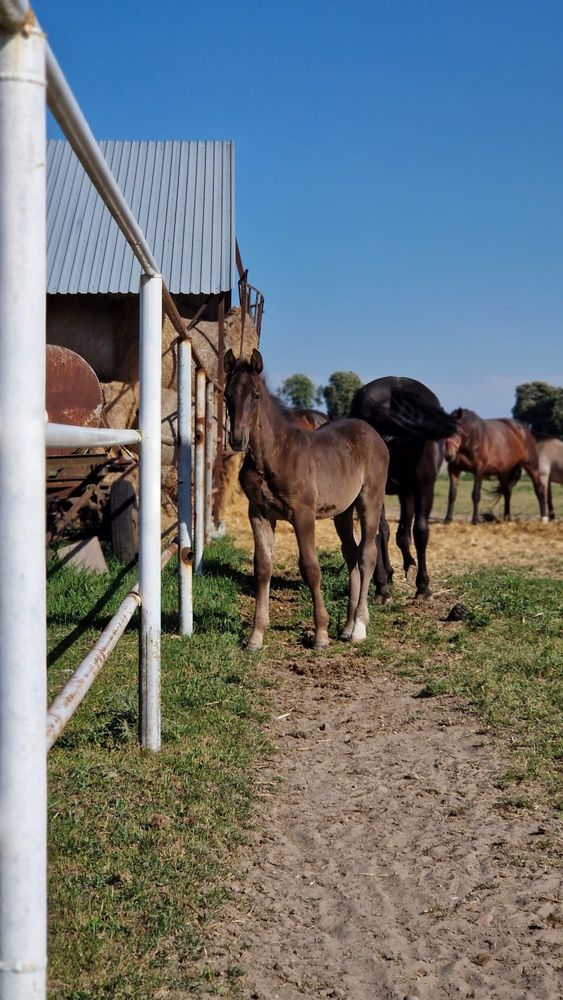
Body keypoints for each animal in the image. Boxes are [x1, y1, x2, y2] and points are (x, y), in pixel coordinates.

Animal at [223, 350, 390, 648]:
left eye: (255, 395)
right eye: (226, 395)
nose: (237, 440)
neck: (273, 455)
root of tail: (373, 434)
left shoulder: (302, 513)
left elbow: (310, 567)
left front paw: (321, 634)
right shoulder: (258, 512)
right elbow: (262, 566)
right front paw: (256, 636)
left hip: (370, 499)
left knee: (367, 554)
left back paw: (359, 627)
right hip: (342, 511)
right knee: (351, 553)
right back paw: (347, 626)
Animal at [352, 376, 458, 592]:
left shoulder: (406, 491)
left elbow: (397, 533)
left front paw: (396, 572)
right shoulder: (414, 490)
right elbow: (409, 531)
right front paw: (415, 577)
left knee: (380, 530)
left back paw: (384, 584)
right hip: (421, 487)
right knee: (415, 529)